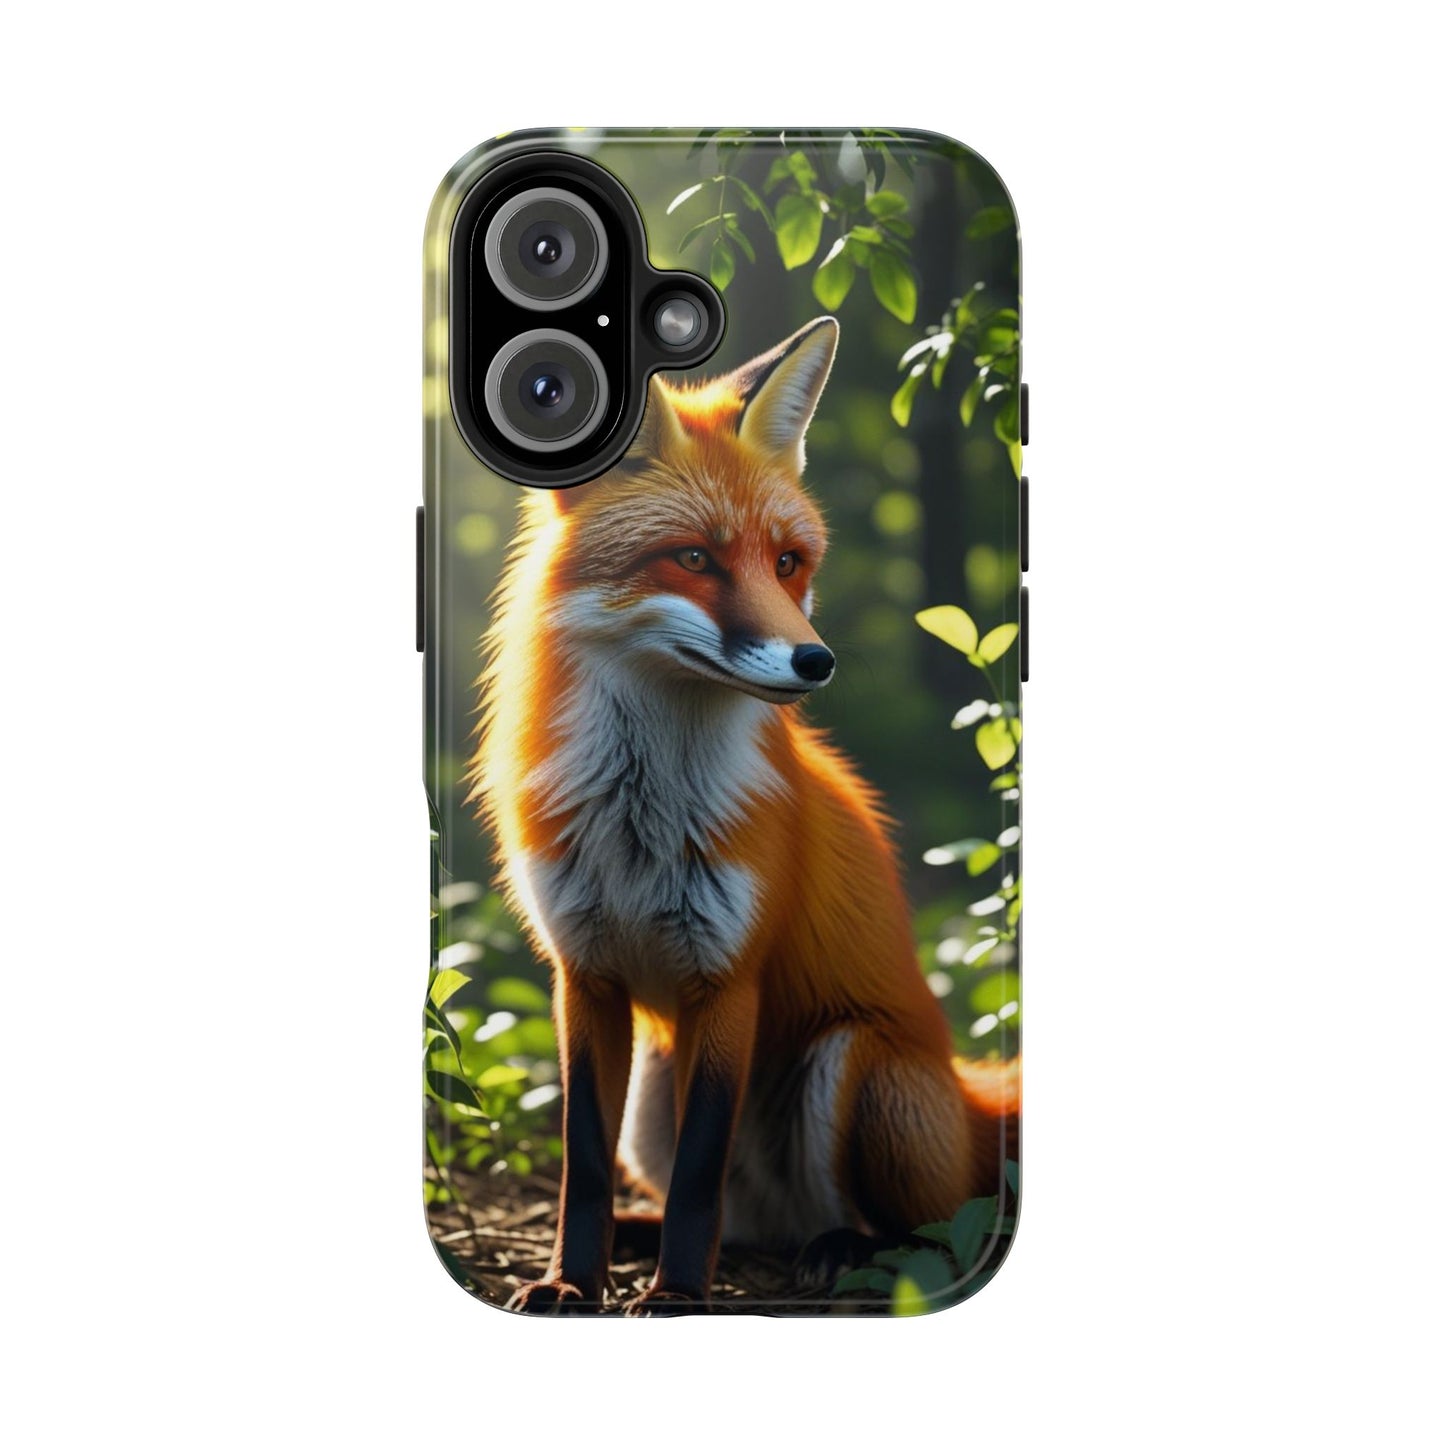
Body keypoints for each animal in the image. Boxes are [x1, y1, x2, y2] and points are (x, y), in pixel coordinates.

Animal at [469, 316, 1019, 1313]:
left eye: (788, 562)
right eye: (694, 557)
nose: (815, 661)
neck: (639, 821)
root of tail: (969, 1095)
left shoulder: (728, 978)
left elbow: (698, 1172)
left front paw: (679, 1295)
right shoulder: (584, 974)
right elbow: (583, 1163)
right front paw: (571, 1279)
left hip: (853, 1067)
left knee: (919, 1231)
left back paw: (839, 1248)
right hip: (653, 1093)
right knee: (742, 1218)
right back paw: (653, 1235)